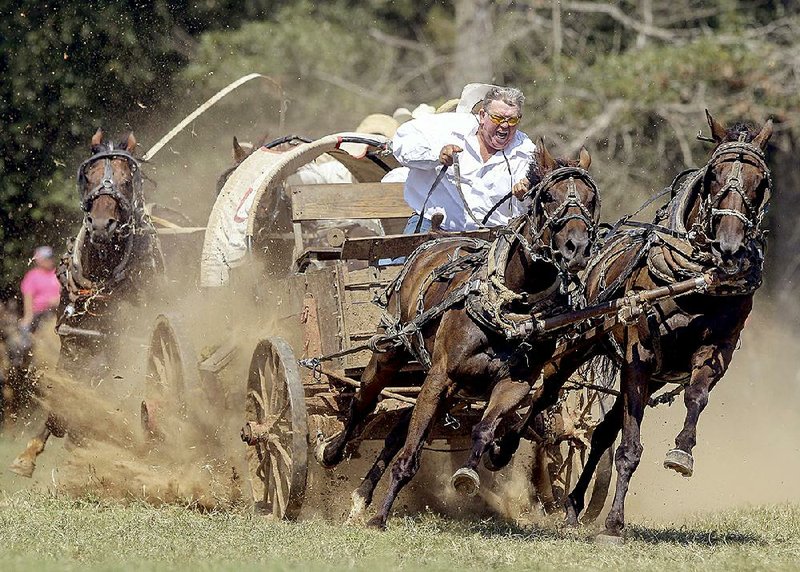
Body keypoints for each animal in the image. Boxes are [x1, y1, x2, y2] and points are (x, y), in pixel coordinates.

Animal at [10, 130, 165, 478]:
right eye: (89, 177)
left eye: (126, 180)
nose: (101, 225)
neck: (100, 278)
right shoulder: (72, 340)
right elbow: (65, 389)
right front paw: (30, 452)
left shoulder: (115, 343)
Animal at [316, 137, 596, 528]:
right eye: (548, 197)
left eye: (591, 198)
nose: (577, 248)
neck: (507, 307)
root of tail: (432, 238)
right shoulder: (441, 375)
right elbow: (408, 454)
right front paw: (380, 517)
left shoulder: (514, 385)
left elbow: (484, 428)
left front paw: (471, 471)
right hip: (391, 353)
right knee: (363, 403)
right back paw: (332, 453)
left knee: (397, 429)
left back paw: (362, 496)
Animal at [488, 109, 776, 540]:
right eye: (713, 175)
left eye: (760, 181)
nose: (729, 247)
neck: (695, 283)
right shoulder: (637, 354)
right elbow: (629, 448)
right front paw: (614, 524)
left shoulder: (716, 352)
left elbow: (696, 397)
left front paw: (681, 452)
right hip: (576, 347)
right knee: (544, 394)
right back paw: (505, 447)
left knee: (602, 431)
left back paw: (574, 503)